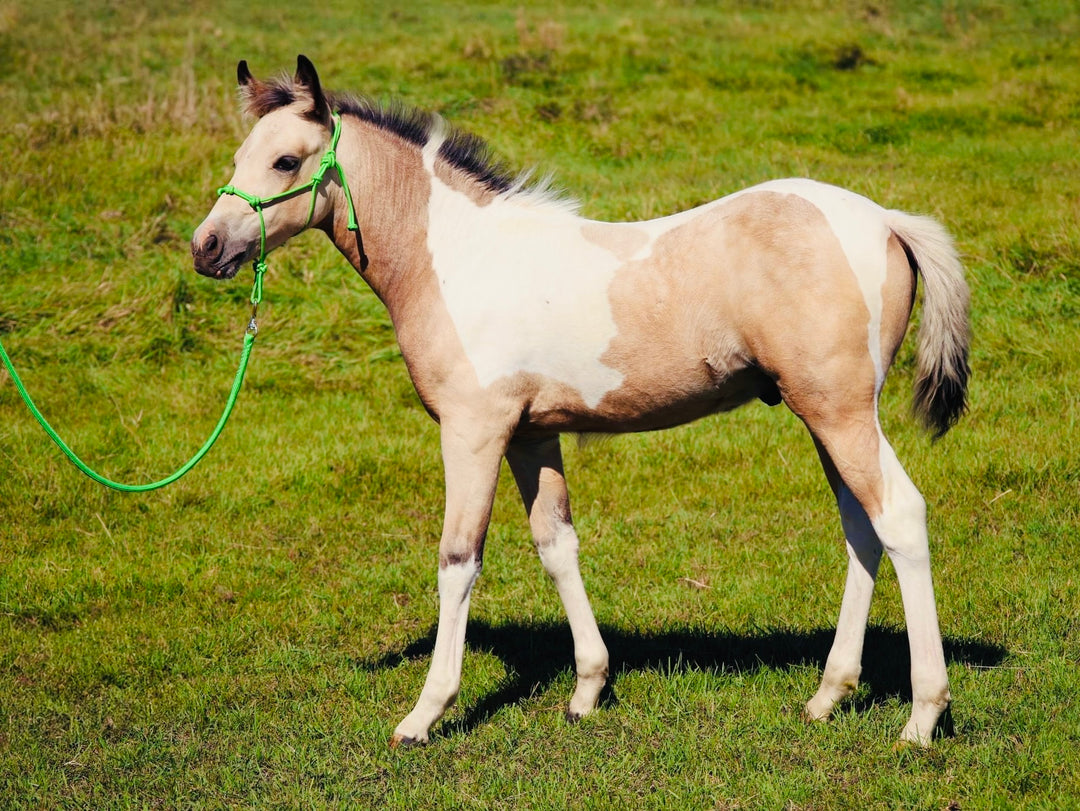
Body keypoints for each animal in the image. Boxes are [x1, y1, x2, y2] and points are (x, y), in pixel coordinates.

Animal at [192, 57, 972, 747]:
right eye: (239, 155)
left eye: (286, 162)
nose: (206, 247)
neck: (459, 260)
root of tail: (886, 219)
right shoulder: (531, 434)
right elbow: (556, 544)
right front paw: (588, 690)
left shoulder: (474, 431)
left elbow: (457, 558)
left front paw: (425, 714)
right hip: (825, 416)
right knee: (862, 527)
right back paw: (827, 696)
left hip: (841, 412)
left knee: (900, 518)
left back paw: (921, 717)